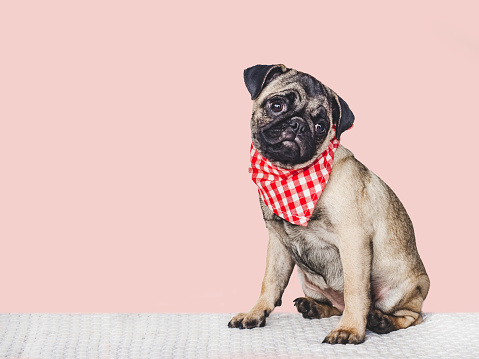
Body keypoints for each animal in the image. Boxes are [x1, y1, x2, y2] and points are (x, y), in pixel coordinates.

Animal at [229, 64, 432, 346]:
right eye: (277, 105)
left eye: (320, 126)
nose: (298, 124)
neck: (290, 176)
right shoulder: (278, 242)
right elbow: (270, 281)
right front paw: (255, 312)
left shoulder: (353, 240)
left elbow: (356, 291)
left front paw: (350, 329)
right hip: (308, 281)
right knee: (336, 305)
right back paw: (314, 306)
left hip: (397, 290)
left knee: (411, 316)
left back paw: (381, 321)